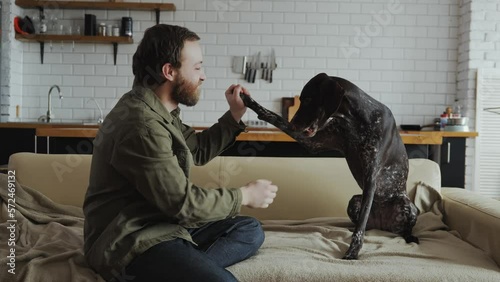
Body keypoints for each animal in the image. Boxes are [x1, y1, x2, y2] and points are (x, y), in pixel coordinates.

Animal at [239, 73, 418, 260]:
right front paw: (248, 100)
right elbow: (275, 117)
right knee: (365, 224)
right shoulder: (313, 142)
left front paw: (353, 251)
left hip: (407, 206)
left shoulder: (371, 176)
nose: (294, 124)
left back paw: (409, 237)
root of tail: (382, 226)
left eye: (308, 99)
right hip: (354, 201)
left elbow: (362, 222)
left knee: (396, 227)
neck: (358, 119)